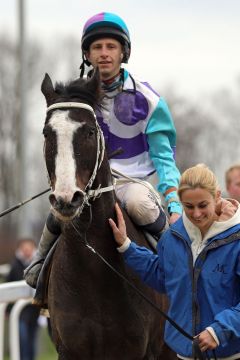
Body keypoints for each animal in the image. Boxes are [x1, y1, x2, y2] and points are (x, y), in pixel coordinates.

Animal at [40, 68, 176, 360]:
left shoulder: (141, 351)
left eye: (90, 131)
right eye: (47, 133)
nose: (67, 199)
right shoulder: (70, 349)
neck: (94, 264)